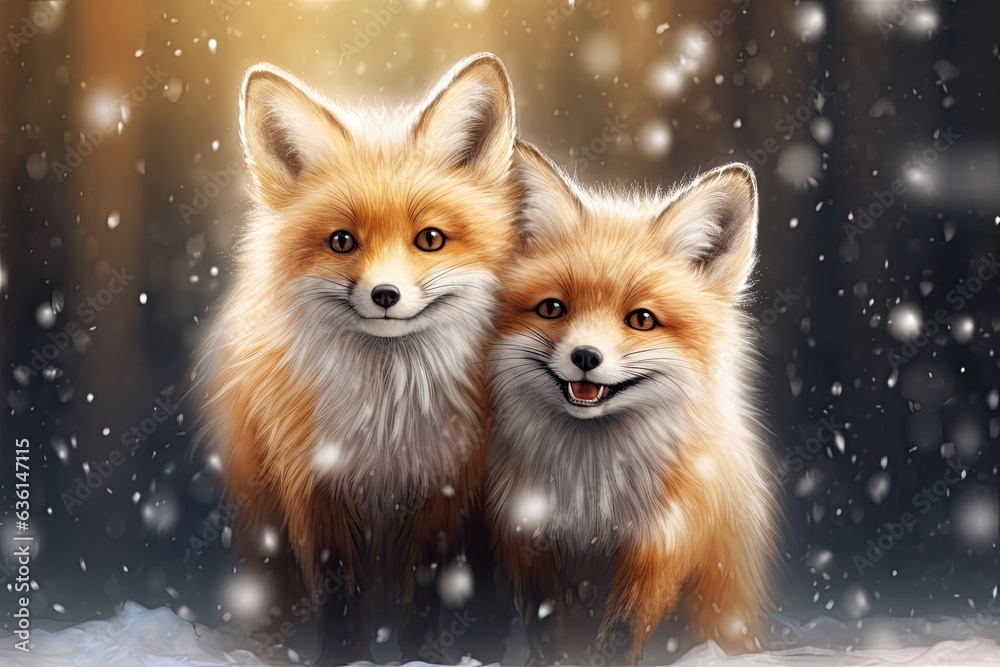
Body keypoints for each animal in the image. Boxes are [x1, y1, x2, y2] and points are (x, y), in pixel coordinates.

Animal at [195, 54, 519, 663]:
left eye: (430, 238)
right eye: (342, 241)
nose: (385, 295)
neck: (386, 426)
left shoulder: (443, 489)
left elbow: (428, 587)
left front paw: (421, 654)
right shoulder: (315, 486)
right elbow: (339, 589)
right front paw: (343, 657)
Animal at [486, 141, 778, 664]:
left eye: (642, 319)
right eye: (552, 308)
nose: (585, 356)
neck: (592, 497)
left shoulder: (662, 543)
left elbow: (622, 630)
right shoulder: (529, 539)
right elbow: (549, 631)